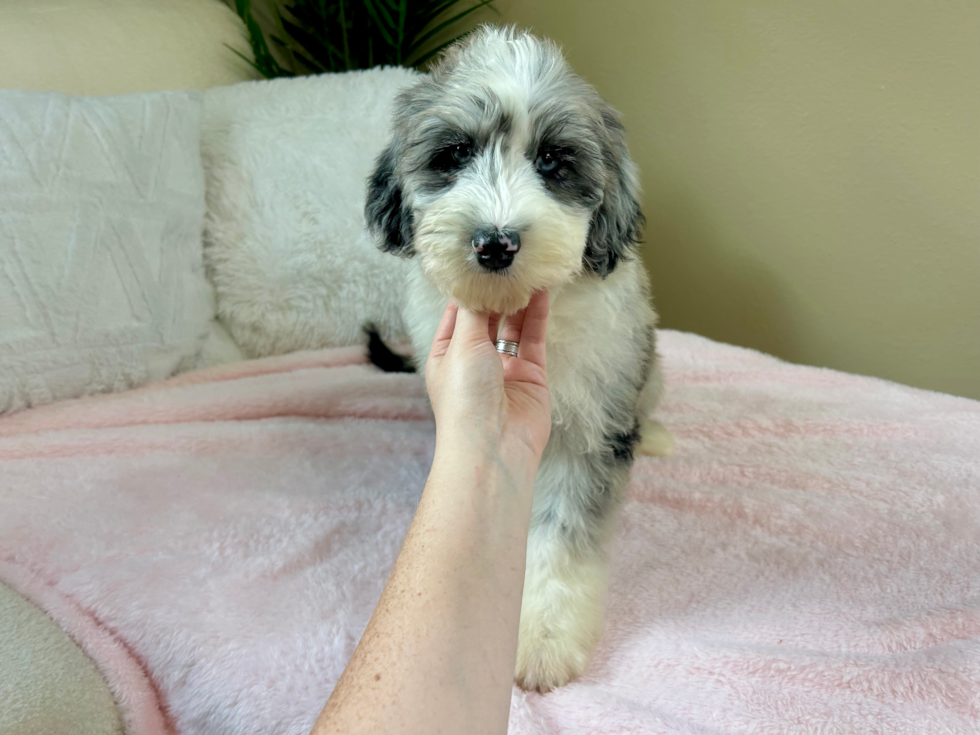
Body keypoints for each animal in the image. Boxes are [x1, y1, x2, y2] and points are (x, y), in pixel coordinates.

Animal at [364, 23, 668, 688]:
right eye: (453, 154)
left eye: (552, 159)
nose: (495, 243)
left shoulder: (593, 422)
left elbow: (561, 536)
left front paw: (544, 635)